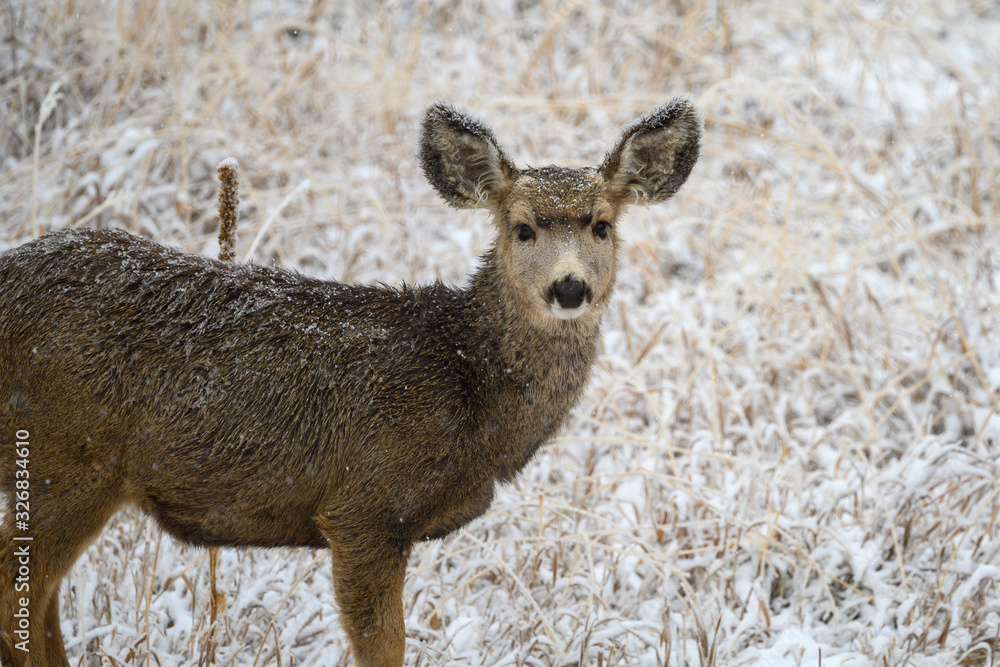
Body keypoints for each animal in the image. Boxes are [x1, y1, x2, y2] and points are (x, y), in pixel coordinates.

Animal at [0, 98, 701, 667]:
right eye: (521, 227)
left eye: (602, 225)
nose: (569, 288)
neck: (466, 386)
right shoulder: (364, 508)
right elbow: (383, 648)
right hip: (68, 458)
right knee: (19, 594)